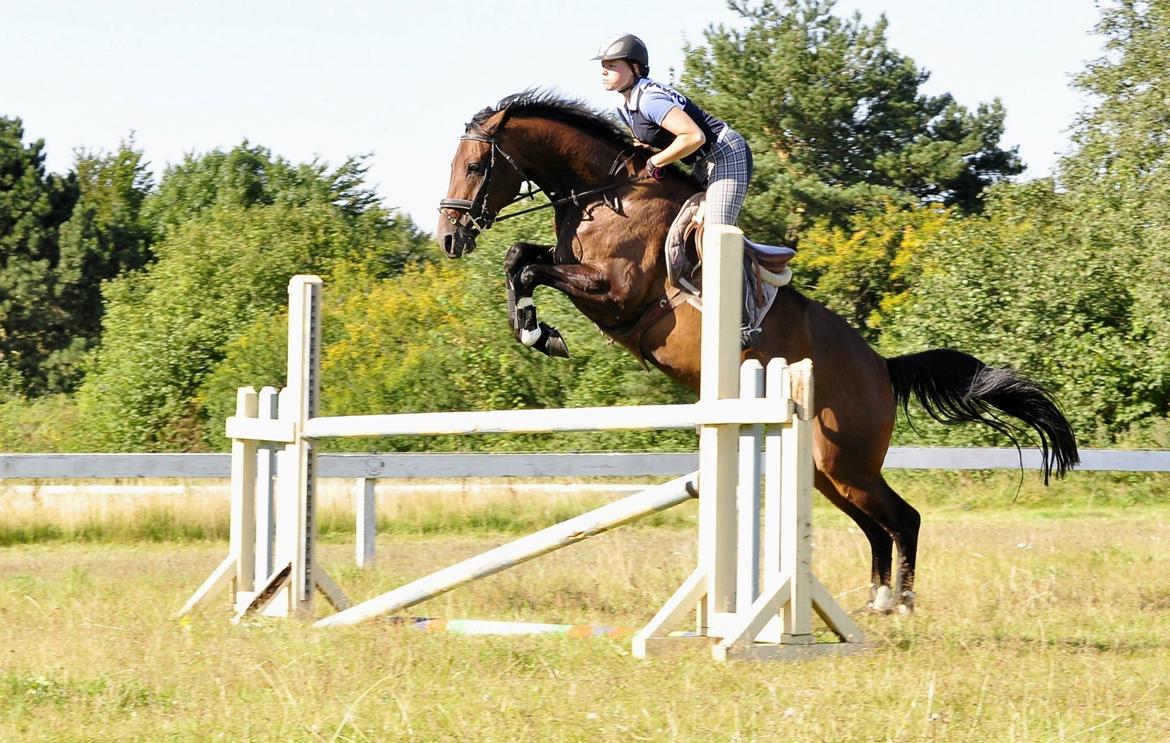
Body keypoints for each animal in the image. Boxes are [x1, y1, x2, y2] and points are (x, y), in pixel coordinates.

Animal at [437, 91, 1076, 617]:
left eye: (474, 166)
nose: (449, 238)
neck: (607, 195)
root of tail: (883, 368)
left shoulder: (614, 293)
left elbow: (527, 263)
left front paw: (538, 331)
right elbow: (520, 256)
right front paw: (532, 325)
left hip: (846, 464)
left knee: (903, 519)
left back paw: (904, 604)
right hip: (826, 470)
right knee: (877, 526)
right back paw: (876, 601)